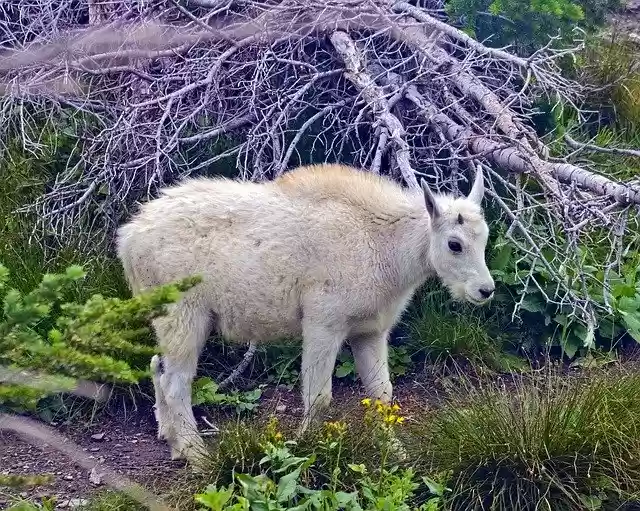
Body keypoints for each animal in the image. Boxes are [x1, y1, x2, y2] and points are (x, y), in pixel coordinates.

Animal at [116, 162, 495, 467]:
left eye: (485, 238)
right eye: (455, 244)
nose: (485, 290)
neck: (385, 246)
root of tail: (128, 240)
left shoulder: (369, 331)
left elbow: (381, 393)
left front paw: (395, 451)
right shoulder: (323, 324)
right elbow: (319, 395)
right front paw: (308, 448)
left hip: (166, 318)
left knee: (157, 365)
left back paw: (172, 442)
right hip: (185, 315)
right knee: (176, 382)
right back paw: (197, 455)